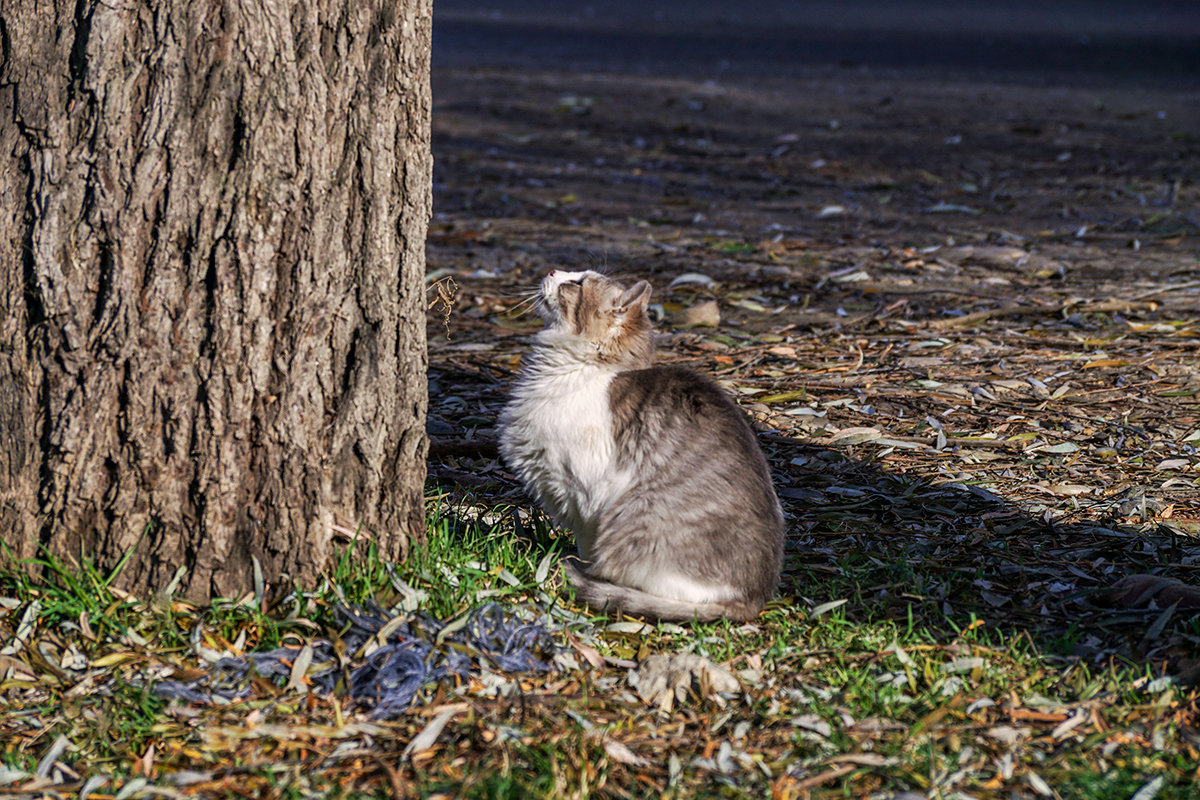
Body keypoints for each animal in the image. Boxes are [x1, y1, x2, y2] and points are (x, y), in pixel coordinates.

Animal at [499, 268, 787, 618]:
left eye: (577, 283)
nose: (553, 271)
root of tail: (754, 599)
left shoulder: (584, 495)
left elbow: (587, 543)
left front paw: (585, 572)